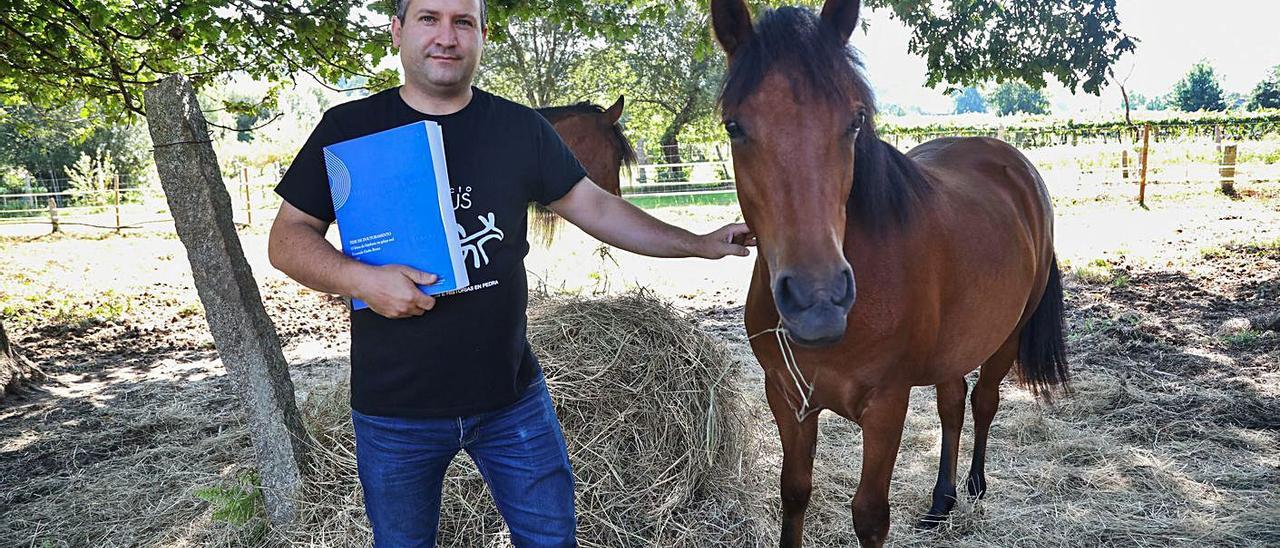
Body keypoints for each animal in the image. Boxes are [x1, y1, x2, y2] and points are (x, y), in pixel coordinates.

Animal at [711, 2, 1070, 545]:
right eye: (734, 126)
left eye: (855, 120)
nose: (818, 302)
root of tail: (1015, 164)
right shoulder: (787, 398)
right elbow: (794, 492)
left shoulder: (886, 406)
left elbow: (870, 515)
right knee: (952, 405)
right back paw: (942, 501)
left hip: (1006, 336)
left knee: (984, 402)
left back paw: (975, 486)